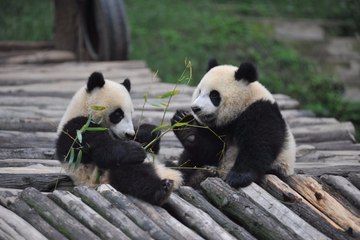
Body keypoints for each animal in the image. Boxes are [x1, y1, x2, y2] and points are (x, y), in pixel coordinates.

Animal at [56, 71, 183, 204]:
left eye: (131, 114)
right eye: (118, 114)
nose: (129, 134)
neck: (84, 109)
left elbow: (150, 144)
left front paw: (146, 133)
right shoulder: (79, 129)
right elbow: (103, 151)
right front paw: (135, 150)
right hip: (103, 175)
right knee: (131, 174)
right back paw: (162, 189)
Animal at [172, 59, 296, 188]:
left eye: (214, 95)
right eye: (199, 92)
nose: (195, 108)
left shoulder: (261, 111)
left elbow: (258, 144)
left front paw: (238, 177)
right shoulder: (218, 128)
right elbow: (208, 149)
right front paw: (185, 126)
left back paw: (205, 173)